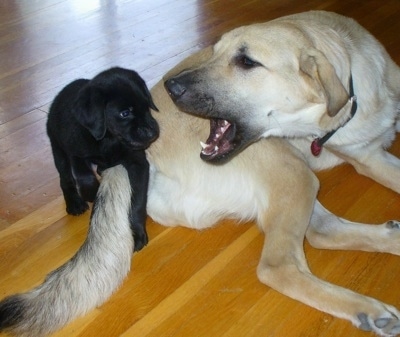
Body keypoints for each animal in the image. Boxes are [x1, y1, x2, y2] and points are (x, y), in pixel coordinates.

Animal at [47, 66, 159, 249]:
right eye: (125, 113)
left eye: (146, 106)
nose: (153, 133)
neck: (109, 139)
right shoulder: (76, 151)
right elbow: (83, 174)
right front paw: (91, 192)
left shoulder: (138, 163)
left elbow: (137, 203)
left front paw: (136, 231)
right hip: (58, 150)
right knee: (65, 179)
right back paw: (74, 202)